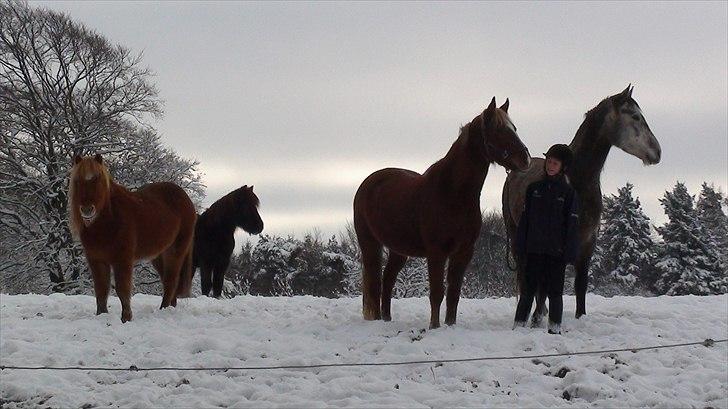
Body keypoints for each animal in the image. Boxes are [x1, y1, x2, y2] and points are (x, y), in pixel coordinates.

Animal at [68, 154, 198, 322]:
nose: (87, 210)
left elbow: (122, 289)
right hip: (158, 255)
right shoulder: (96, 260)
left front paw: (126, 318)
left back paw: (164, 309)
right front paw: (101, 315)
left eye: (97, 179)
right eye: (77, 181)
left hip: (175, 251)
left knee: (171, 280)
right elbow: (101, 290)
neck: (109, 221)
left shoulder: (122, 259)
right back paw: (170, 307)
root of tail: (185, 198)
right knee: (168, 280)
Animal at [356, 96, 532, 328]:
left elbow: (454, 294)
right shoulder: (436, 252)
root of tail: (369, 182)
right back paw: (377, 320)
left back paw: (386, 319)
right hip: (370, 244)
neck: (452, 193)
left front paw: (450, 325)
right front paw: (434, 326)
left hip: (398, 250)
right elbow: (437, 293)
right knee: (375, 284)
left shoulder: (464, 252)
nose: (526, 159)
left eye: (514, 128)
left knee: (388, 280)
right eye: (498, 129)